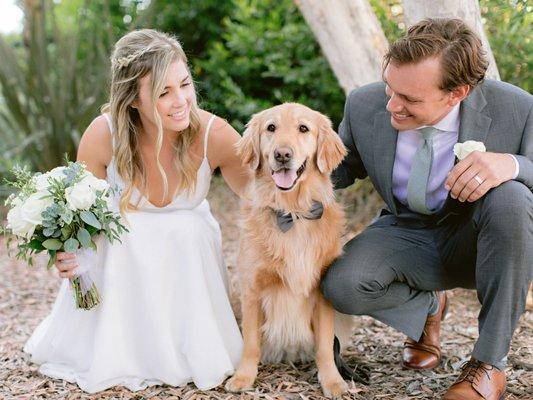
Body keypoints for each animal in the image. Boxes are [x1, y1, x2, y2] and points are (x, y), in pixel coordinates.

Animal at [225, 102, 350, 396]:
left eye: (304, 128)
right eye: (271, 127)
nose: (282, 154)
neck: (292, 213)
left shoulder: (322, 292)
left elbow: (325, 346)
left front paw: (332, 381)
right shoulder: (252, 289)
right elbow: (250, 341)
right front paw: (244, 376)